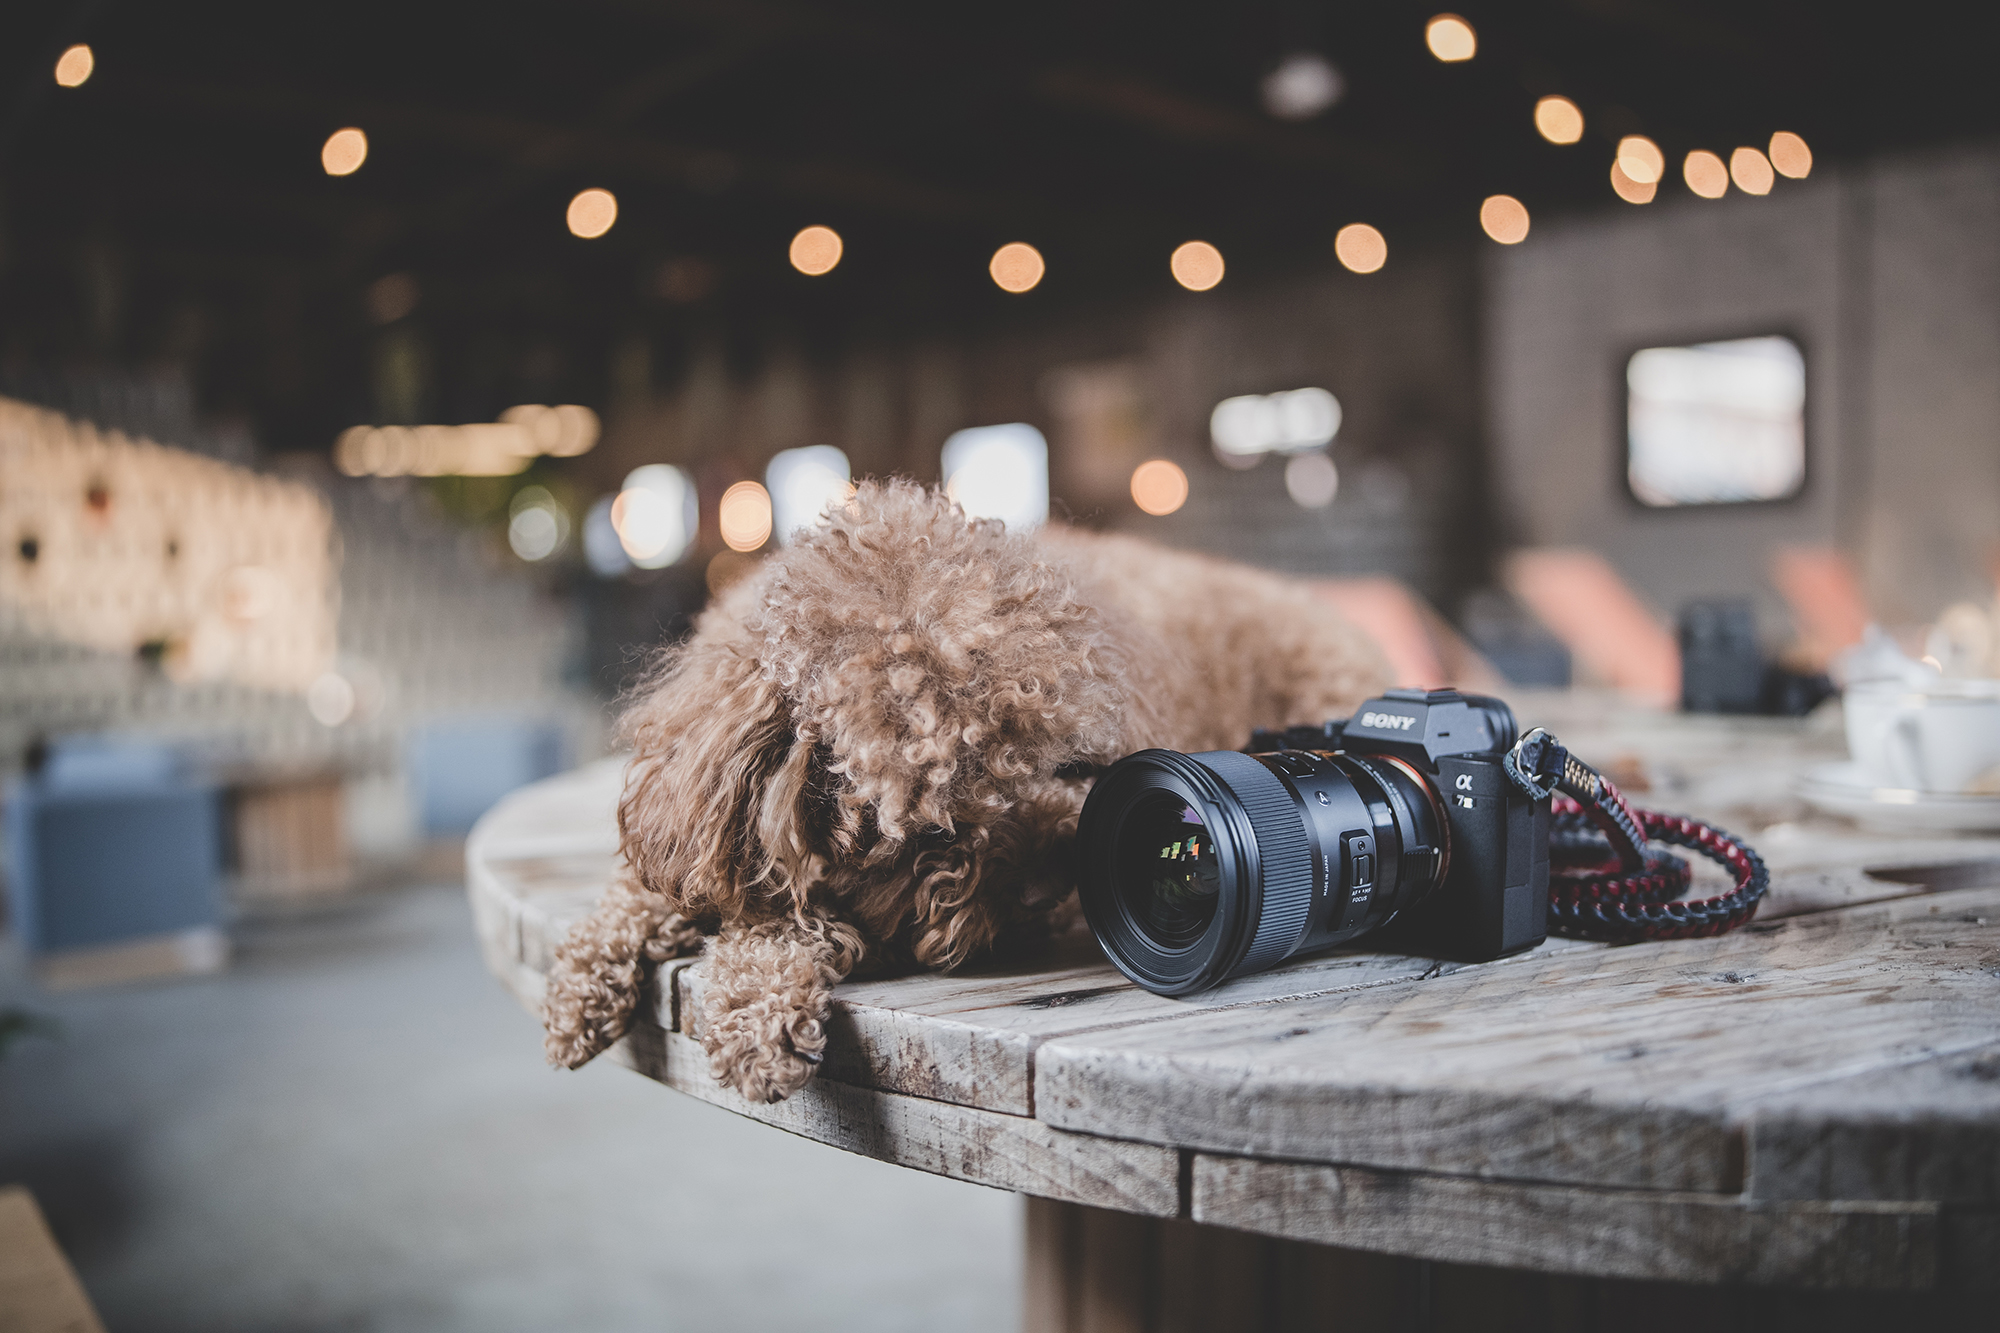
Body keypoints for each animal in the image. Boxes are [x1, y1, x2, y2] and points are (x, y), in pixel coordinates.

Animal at [544, 478, 1392, 1096]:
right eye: (933, 826)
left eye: (1058, 767)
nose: (1046, 888)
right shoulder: (695, 820)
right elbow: (655, 888)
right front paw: (581, 986)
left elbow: (806, 922)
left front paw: (760, 1006)